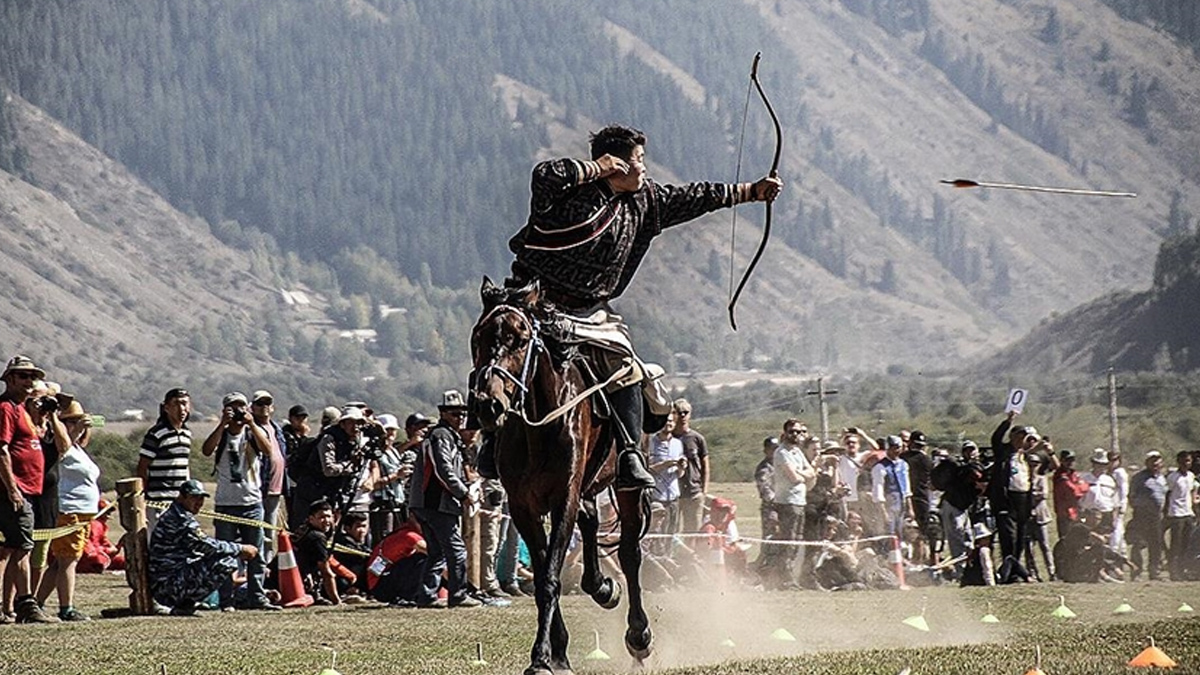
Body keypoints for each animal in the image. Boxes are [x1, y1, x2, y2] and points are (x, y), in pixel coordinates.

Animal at [470, 276, 657, 672]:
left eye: (520, 338)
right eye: (479, 336)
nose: (488, 405)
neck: (540, 425)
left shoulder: (562, 498)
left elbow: (551, 578)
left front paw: (542, 657)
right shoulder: (523, 507)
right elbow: (544, 573)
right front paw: (556, 653)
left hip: (626, 488)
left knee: (630, 553)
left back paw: (638, 637)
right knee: (591, 521)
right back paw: (602, 587)